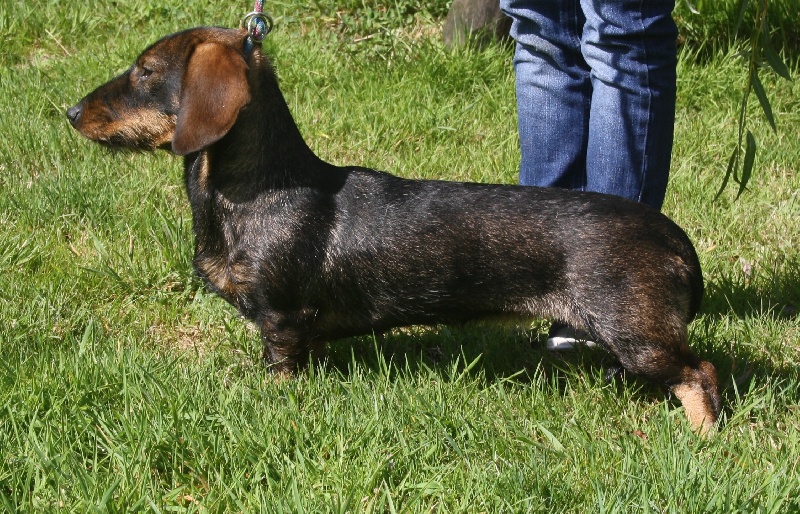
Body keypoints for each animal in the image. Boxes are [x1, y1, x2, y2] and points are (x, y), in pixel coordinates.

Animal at [67, 26, 720, 430]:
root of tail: (670, 233)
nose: (69, 111)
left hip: (638, 337)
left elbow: (279, 369)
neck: (260, 190)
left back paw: (705, 436)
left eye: (146, 71)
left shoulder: (280, 319)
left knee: (700, 373)